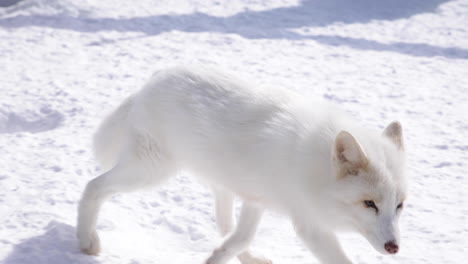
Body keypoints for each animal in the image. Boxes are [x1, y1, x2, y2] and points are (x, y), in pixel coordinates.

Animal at [77, 64, 406, 264]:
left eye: (399, 206)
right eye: (369, 204)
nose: (394, 247)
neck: (314, 167)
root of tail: (150, 82)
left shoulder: (258, 200)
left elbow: (237, 238)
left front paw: (217, 257)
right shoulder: (307, 224)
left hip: (223, 186)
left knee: (225, 225)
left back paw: (249, 258)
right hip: (149, 171)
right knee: (93, 186)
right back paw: (86, 242)